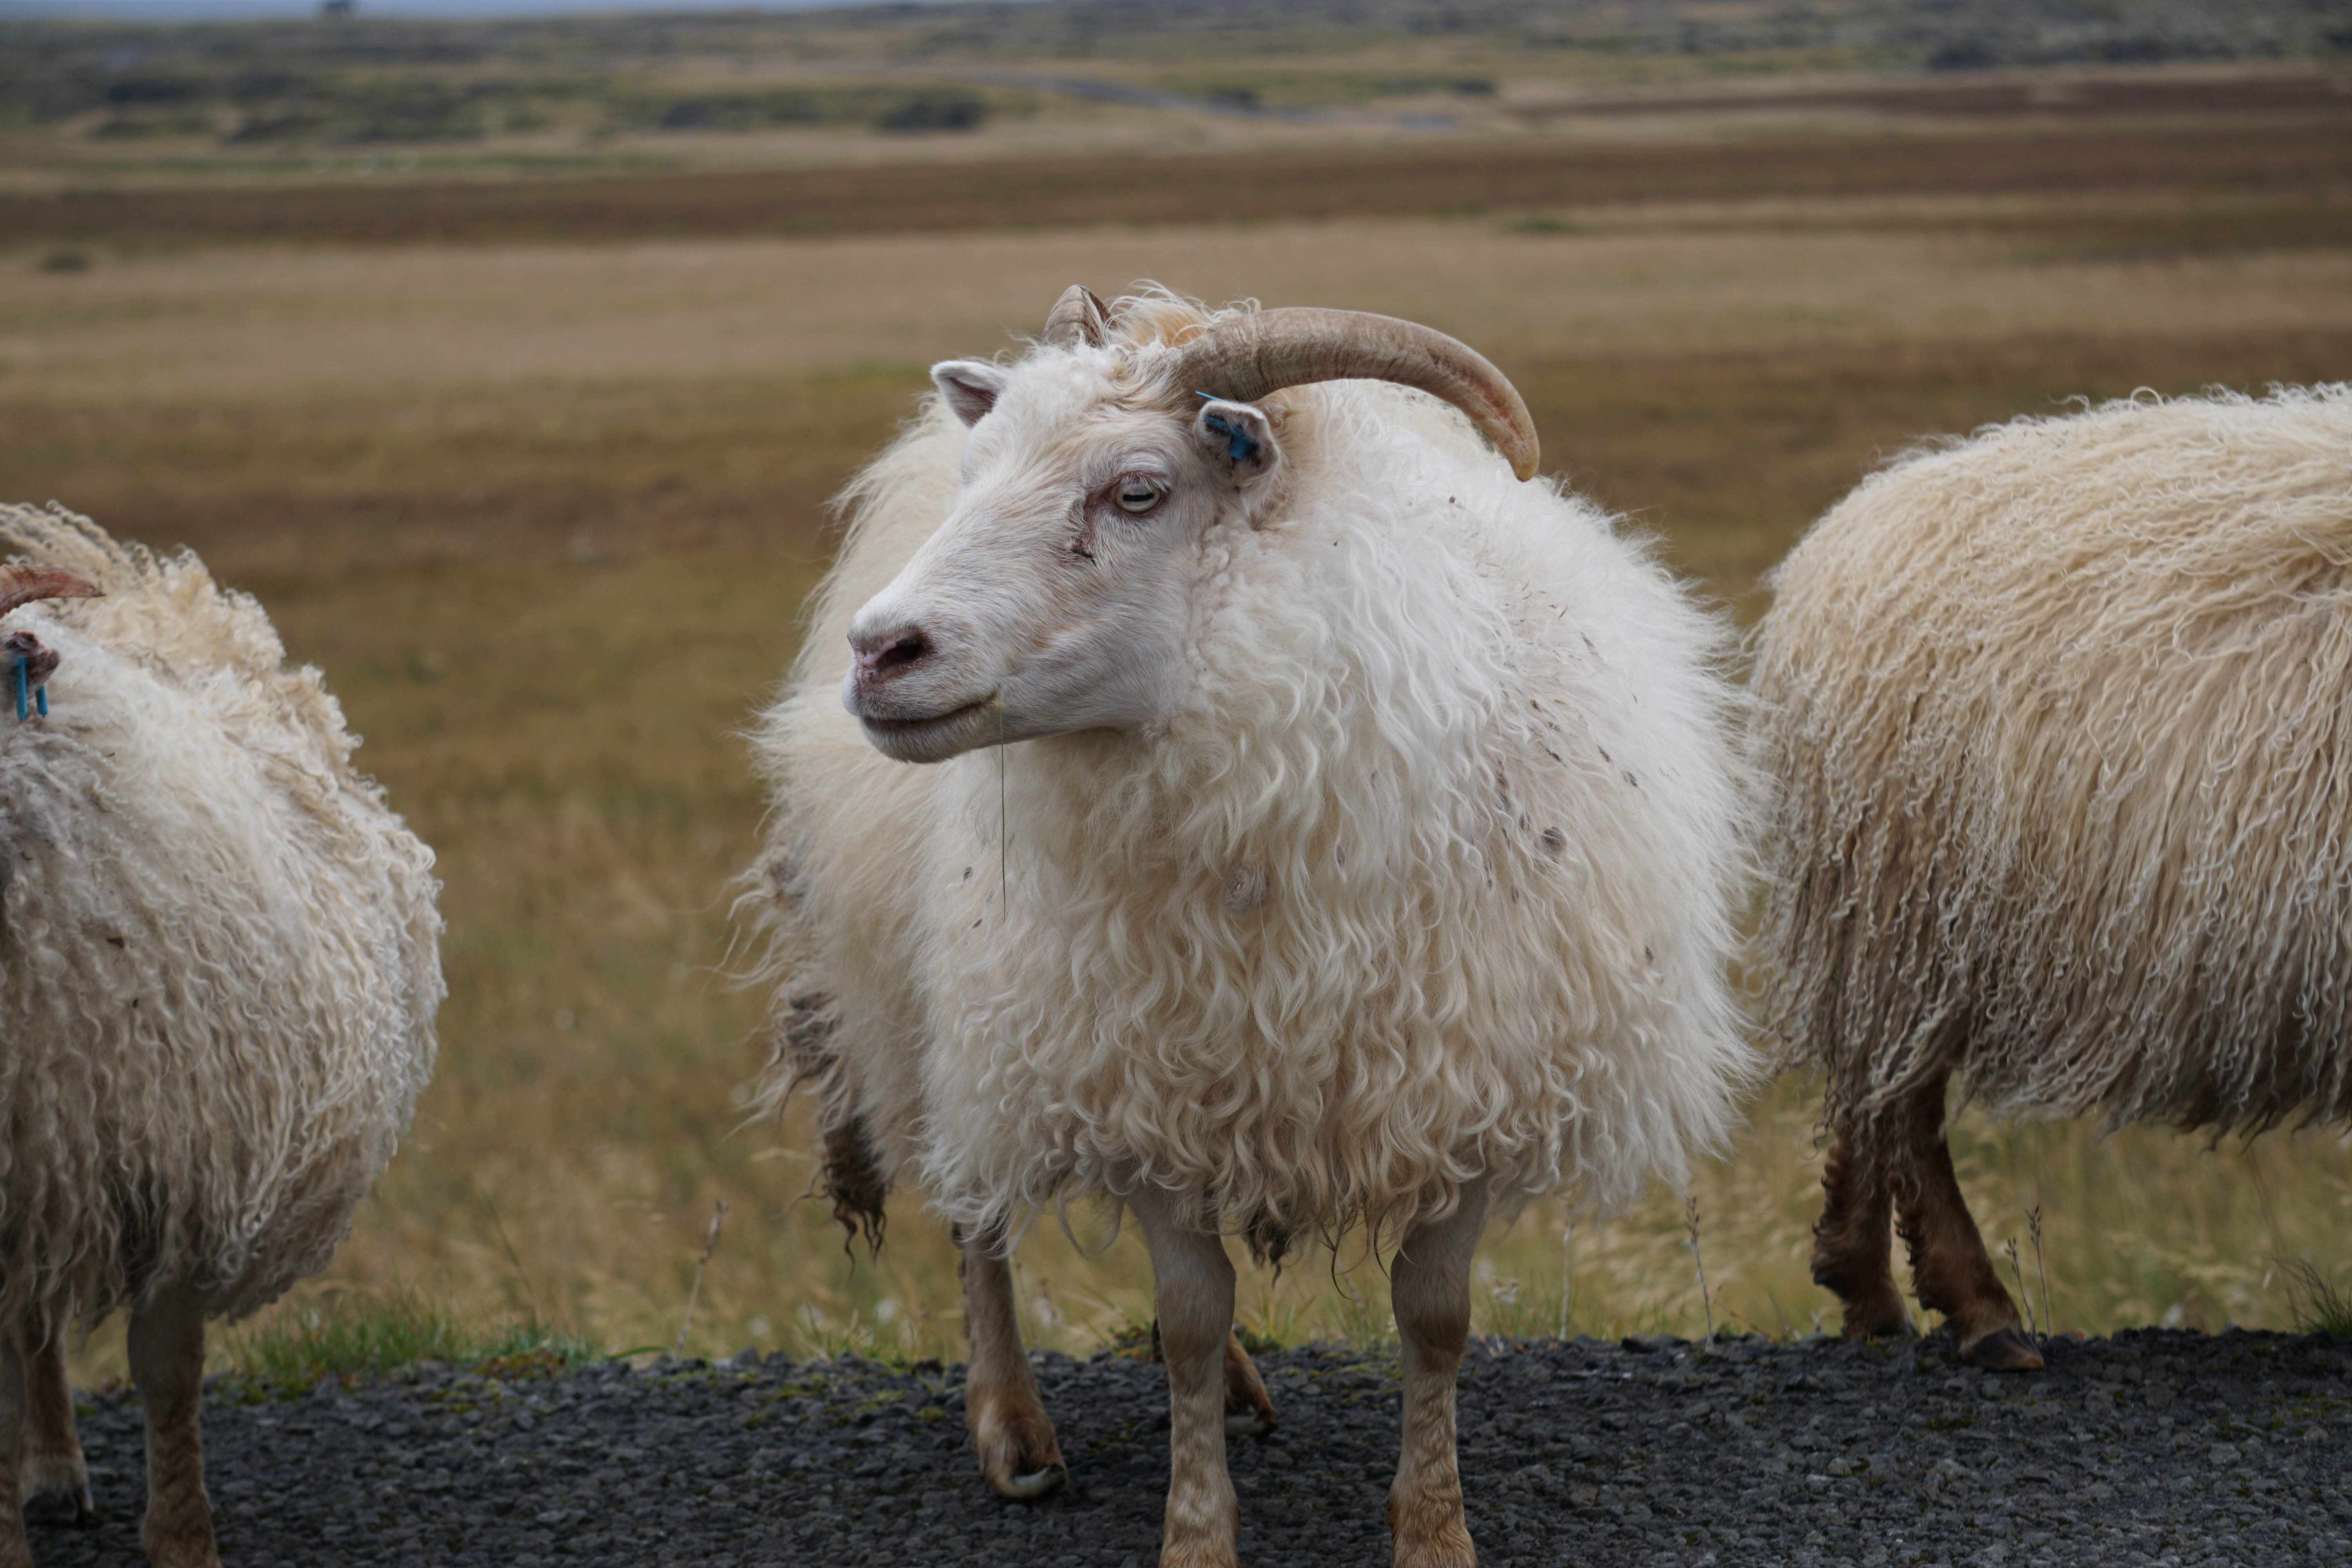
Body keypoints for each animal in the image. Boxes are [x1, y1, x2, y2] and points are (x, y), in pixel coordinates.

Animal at [743, 288, 1759, 1561]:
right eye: (981, 474)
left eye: (1137, 491)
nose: (881, 652)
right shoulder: (1135, 1081)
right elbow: (1183, 1314)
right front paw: (1196, 1533)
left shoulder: (1465, 1084)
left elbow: (1434, 1317)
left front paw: (1433, 1530)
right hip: (933, 1007)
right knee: (976, 1215)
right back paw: (1013, 1425)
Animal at [1759, 383, 2352, 1373]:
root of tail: (1849, 532)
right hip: (1916, 907)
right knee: (1905, 1117)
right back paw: (1981, 1311)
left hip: (1887, 922)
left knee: (1868, 1093)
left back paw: (1864, 1288)